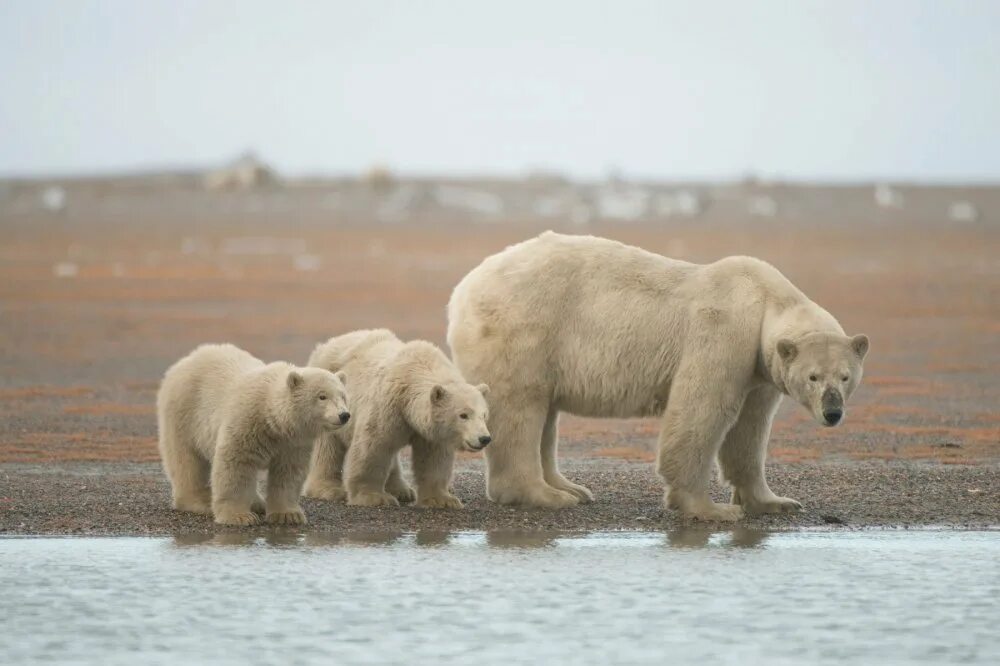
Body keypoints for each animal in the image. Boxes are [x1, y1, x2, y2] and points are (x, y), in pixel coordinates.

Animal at [446, 232, 868, 520]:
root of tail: (463, 289)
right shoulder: (723, 336)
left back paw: (570, 487)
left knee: (544, 412)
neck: (763, 301)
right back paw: (544, 494)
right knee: (520, 406)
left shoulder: (757, 368)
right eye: (814, 377)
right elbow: (702, 411)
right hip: (523, 327)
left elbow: (749, 429)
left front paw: (776, 501)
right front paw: (711, 509)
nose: (833, 412)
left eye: (845, 377)